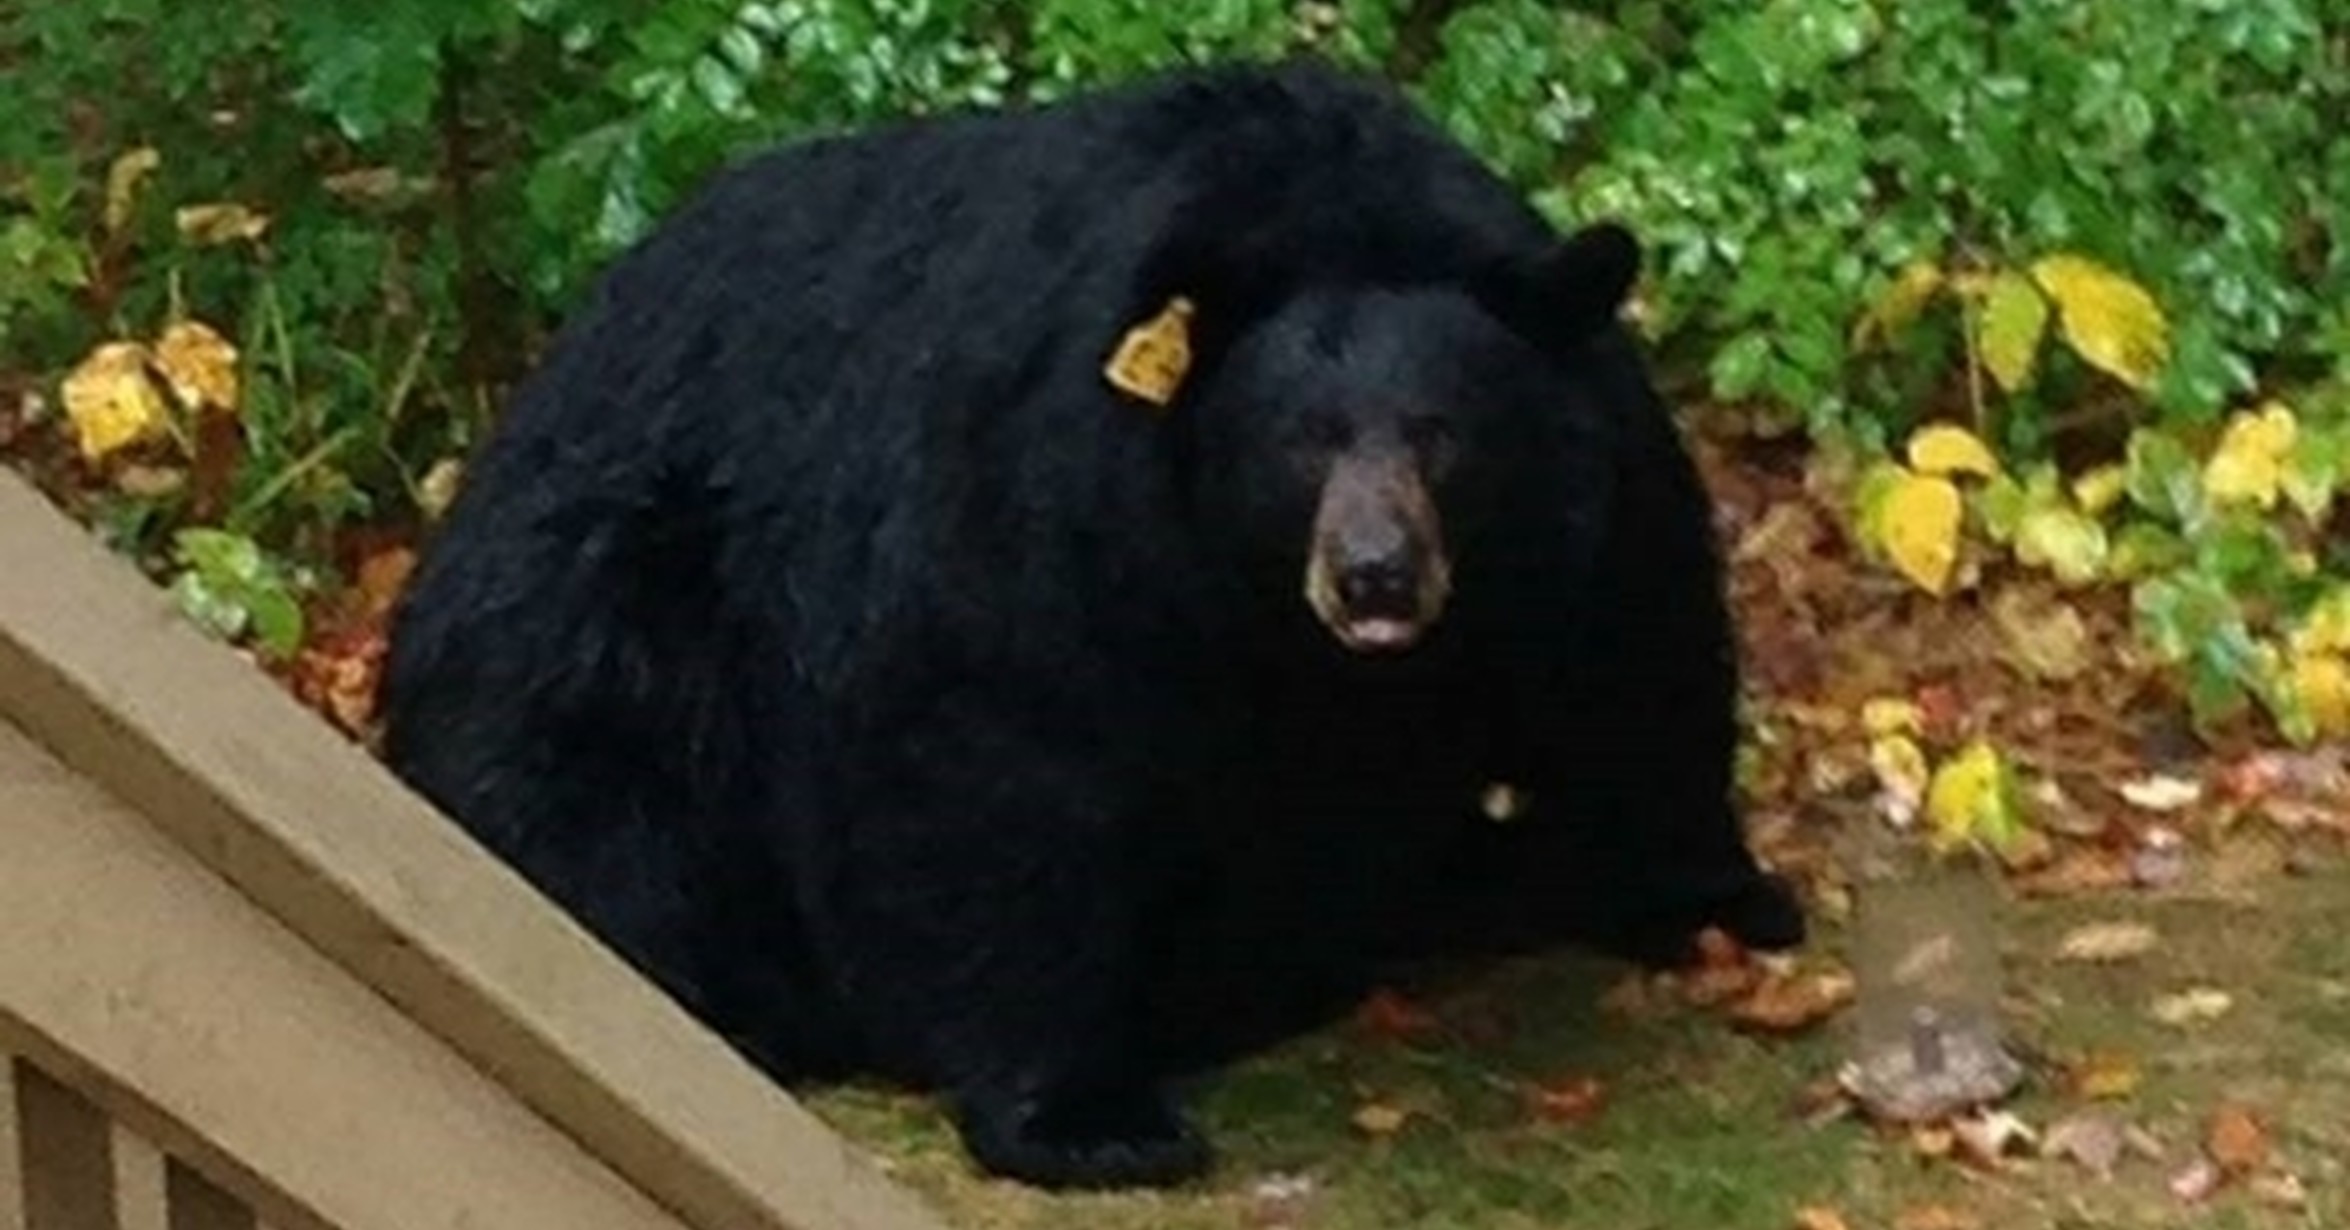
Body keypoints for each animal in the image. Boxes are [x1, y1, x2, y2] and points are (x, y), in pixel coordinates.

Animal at [378, 57, 1806, 1192]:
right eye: (1303, 442)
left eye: (1442, 435)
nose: (1376, 579)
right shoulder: (1049, 503)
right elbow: (995, 768)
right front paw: (1089, 1119)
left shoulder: (1583, 500)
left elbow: (1633, 660)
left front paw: (1720, 896)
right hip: (605, 603)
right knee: (578, 788)